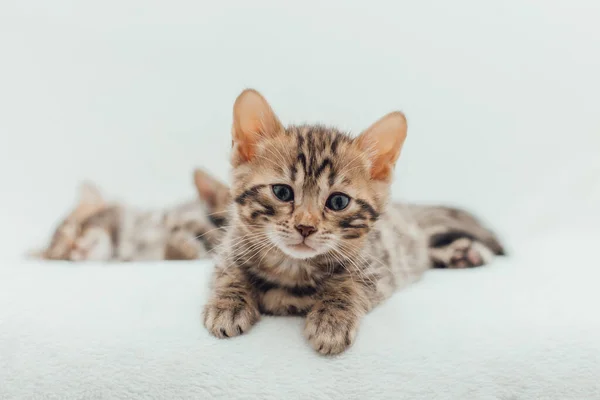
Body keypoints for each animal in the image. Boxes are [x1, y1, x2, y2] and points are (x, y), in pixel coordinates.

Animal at [203, 89, 506, 354]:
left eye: (338, 202)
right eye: (282, 192)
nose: (305, 227)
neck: (292, 267)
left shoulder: (378, 268)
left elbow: (348, 285)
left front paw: (331, 319)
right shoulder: (230, 247)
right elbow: (229, 273)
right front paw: (228, 303)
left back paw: (464, 253)